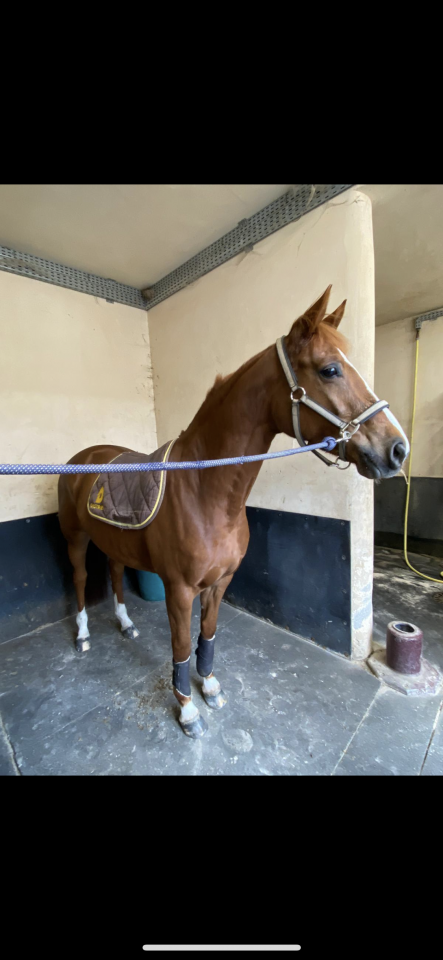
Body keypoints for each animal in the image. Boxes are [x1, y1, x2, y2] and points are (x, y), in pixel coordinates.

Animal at [58, 286, 409, 738]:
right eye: (330, 369)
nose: (397, 449)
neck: (204, 492)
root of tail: (82, 458)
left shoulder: (220, 582)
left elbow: (206, 637)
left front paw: (208, 686)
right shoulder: (179, 590)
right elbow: (180, 646)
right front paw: (187, 710)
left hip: (113, 541)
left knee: (116, 573)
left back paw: (125, 623)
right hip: (75, 539)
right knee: (81, 579)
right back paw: (83, 634)